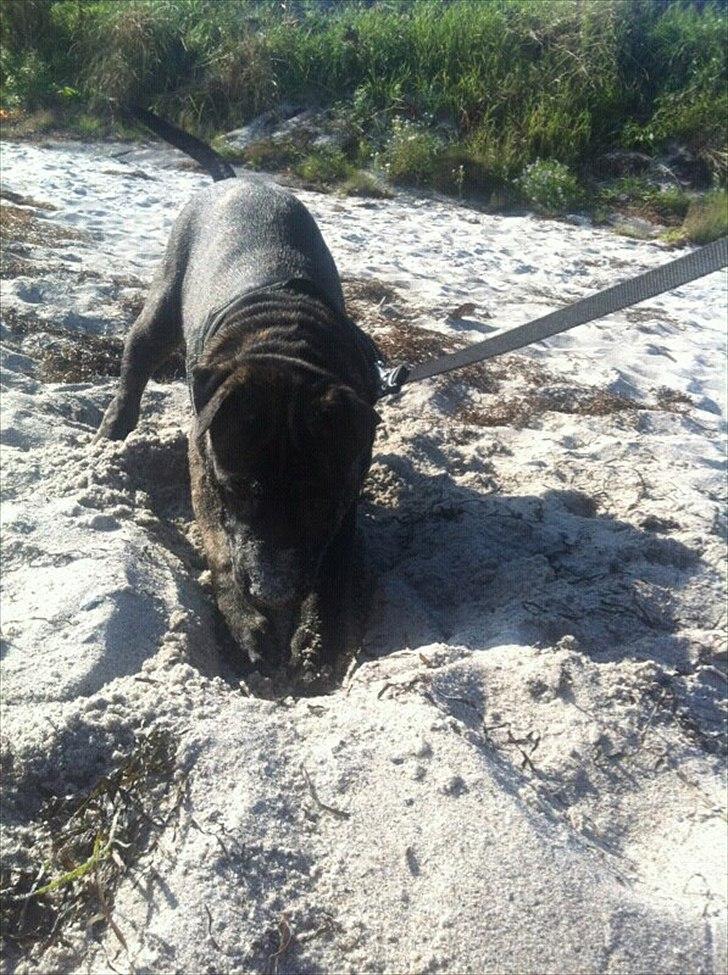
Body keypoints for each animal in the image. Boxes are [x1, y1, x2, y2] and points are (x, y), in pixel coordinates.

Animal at [97, 105, 384, 672]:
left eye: (318, 498)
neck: (286, 341)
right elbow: (219, 543)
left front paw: (317, 634)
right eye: (239, 488)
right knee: (135, 360)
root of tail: (233, 181)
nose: (274, 594)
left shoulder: (347, 484)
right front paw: (246, 622)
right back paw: (113, 429)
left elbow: (334, 559)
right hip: (162, 303)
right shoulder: (205, 459)